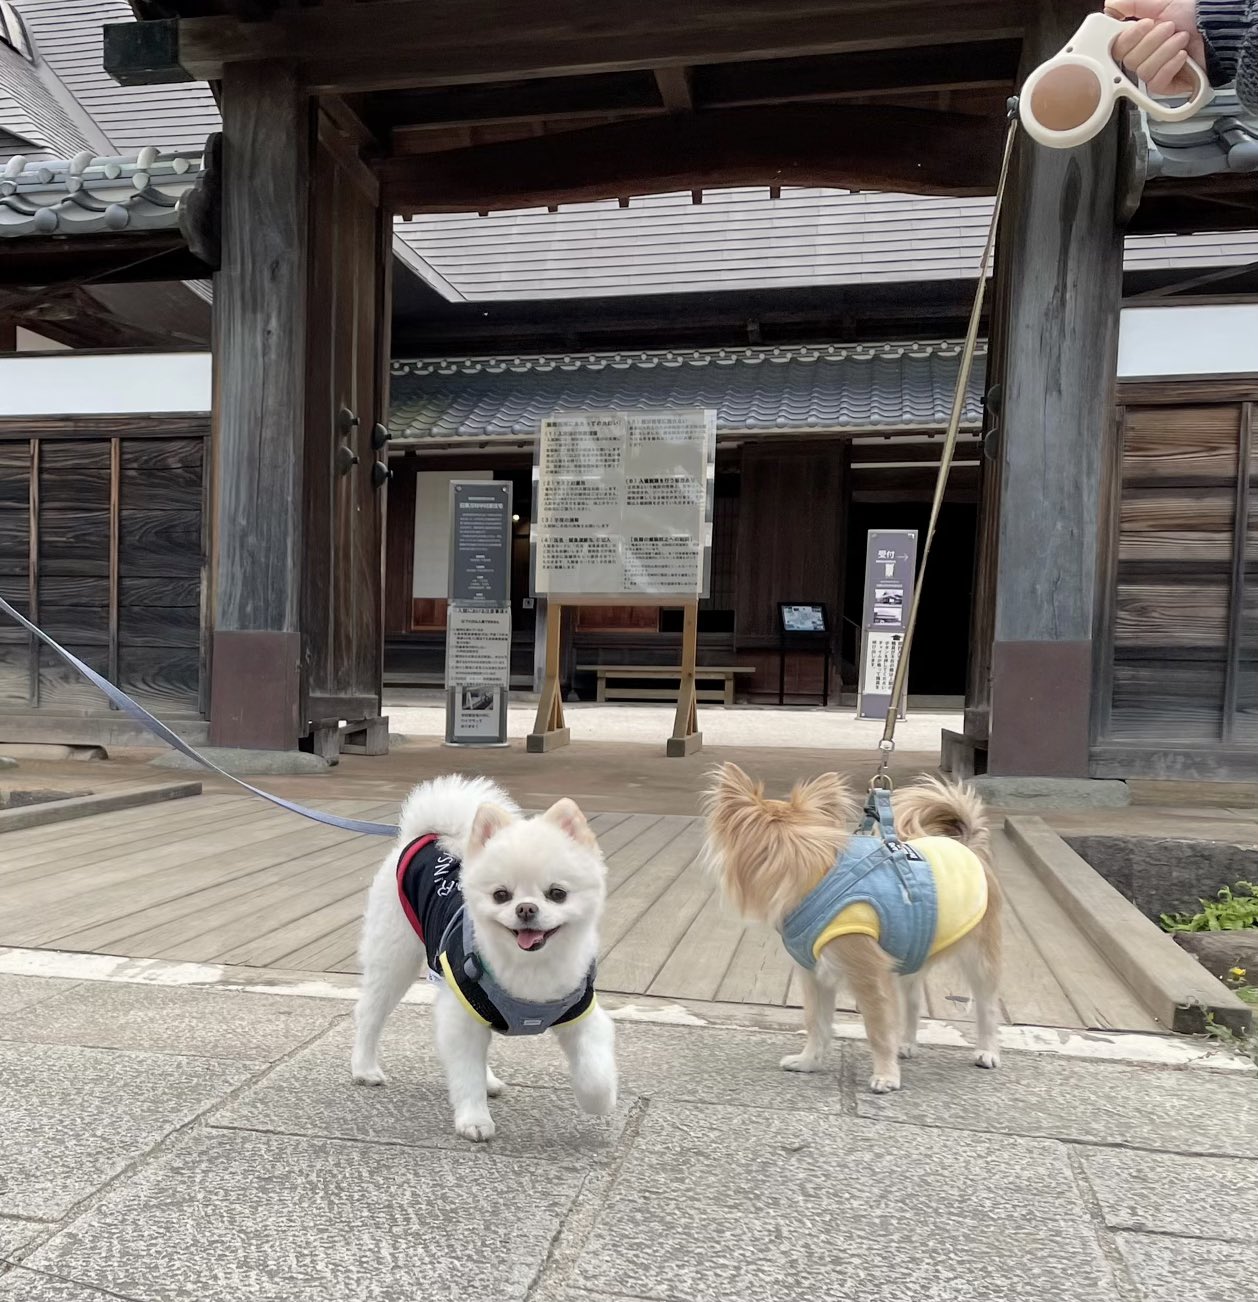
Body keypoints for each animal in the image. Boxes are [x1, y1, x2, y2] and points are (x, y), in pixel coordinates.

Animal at [351, 774, 617, 1141]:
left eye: (557, 894)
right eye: (501, 895)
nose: (526, 908)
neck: (529, 970)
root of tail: (425, 836)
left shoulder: (581, 1010)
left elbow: (595, 1070)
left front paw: (599, 1101)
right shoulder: (462, 1010)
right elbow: (466, 1075)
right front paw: (474, 1120)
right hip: (394, 958)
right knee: (370, 1013)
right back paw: (365, 1068)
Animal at [704, 765, 1001, 1093]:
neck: (815, 880)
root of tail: (968, 846)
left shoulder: (868, 977)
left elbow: (878, 1028)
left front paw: (886, 1075)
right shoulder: (815, 976)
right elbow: (816, 1023)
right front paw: (808, 1062)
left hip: (979, 959)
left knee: (986, 1007)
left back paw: (987, 1051)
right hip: (910, 955)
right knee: (912, 1003)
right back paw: (907, 1044)